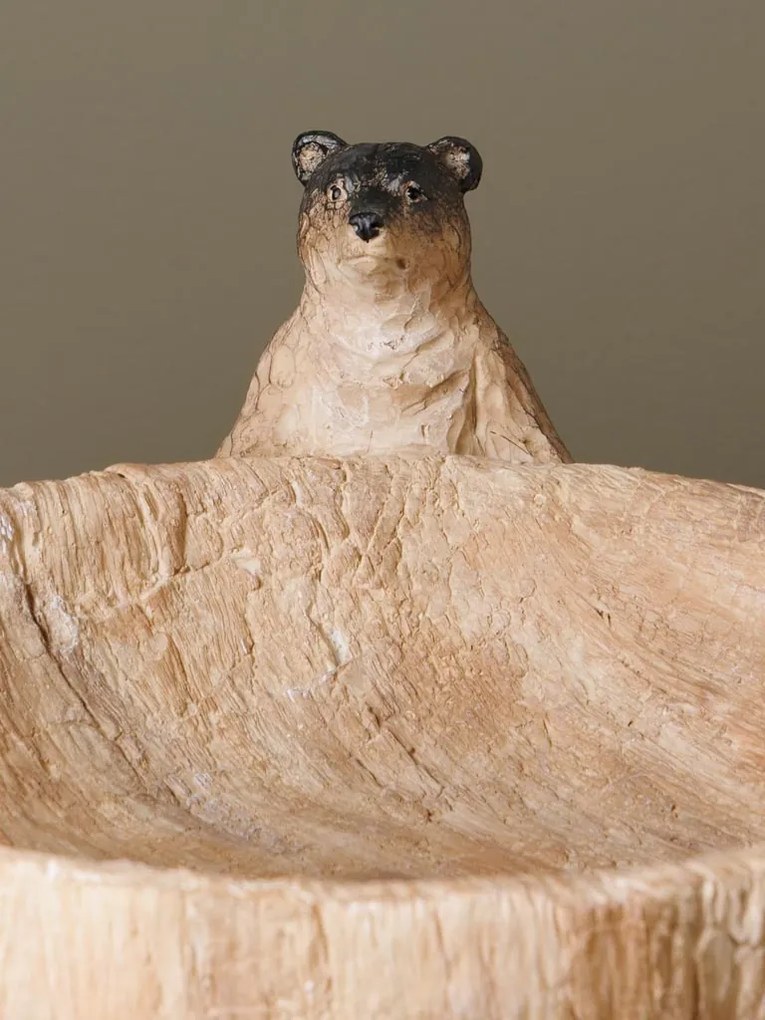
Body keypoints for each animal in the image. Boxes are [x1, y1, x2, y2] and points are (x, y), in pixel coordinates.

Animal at [217, 131, 570, 464]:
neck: (379, 331)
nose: (365, 221)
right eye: (336, 191)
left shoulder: (499, 372)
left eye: (413, 192)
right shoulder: (274, 383)